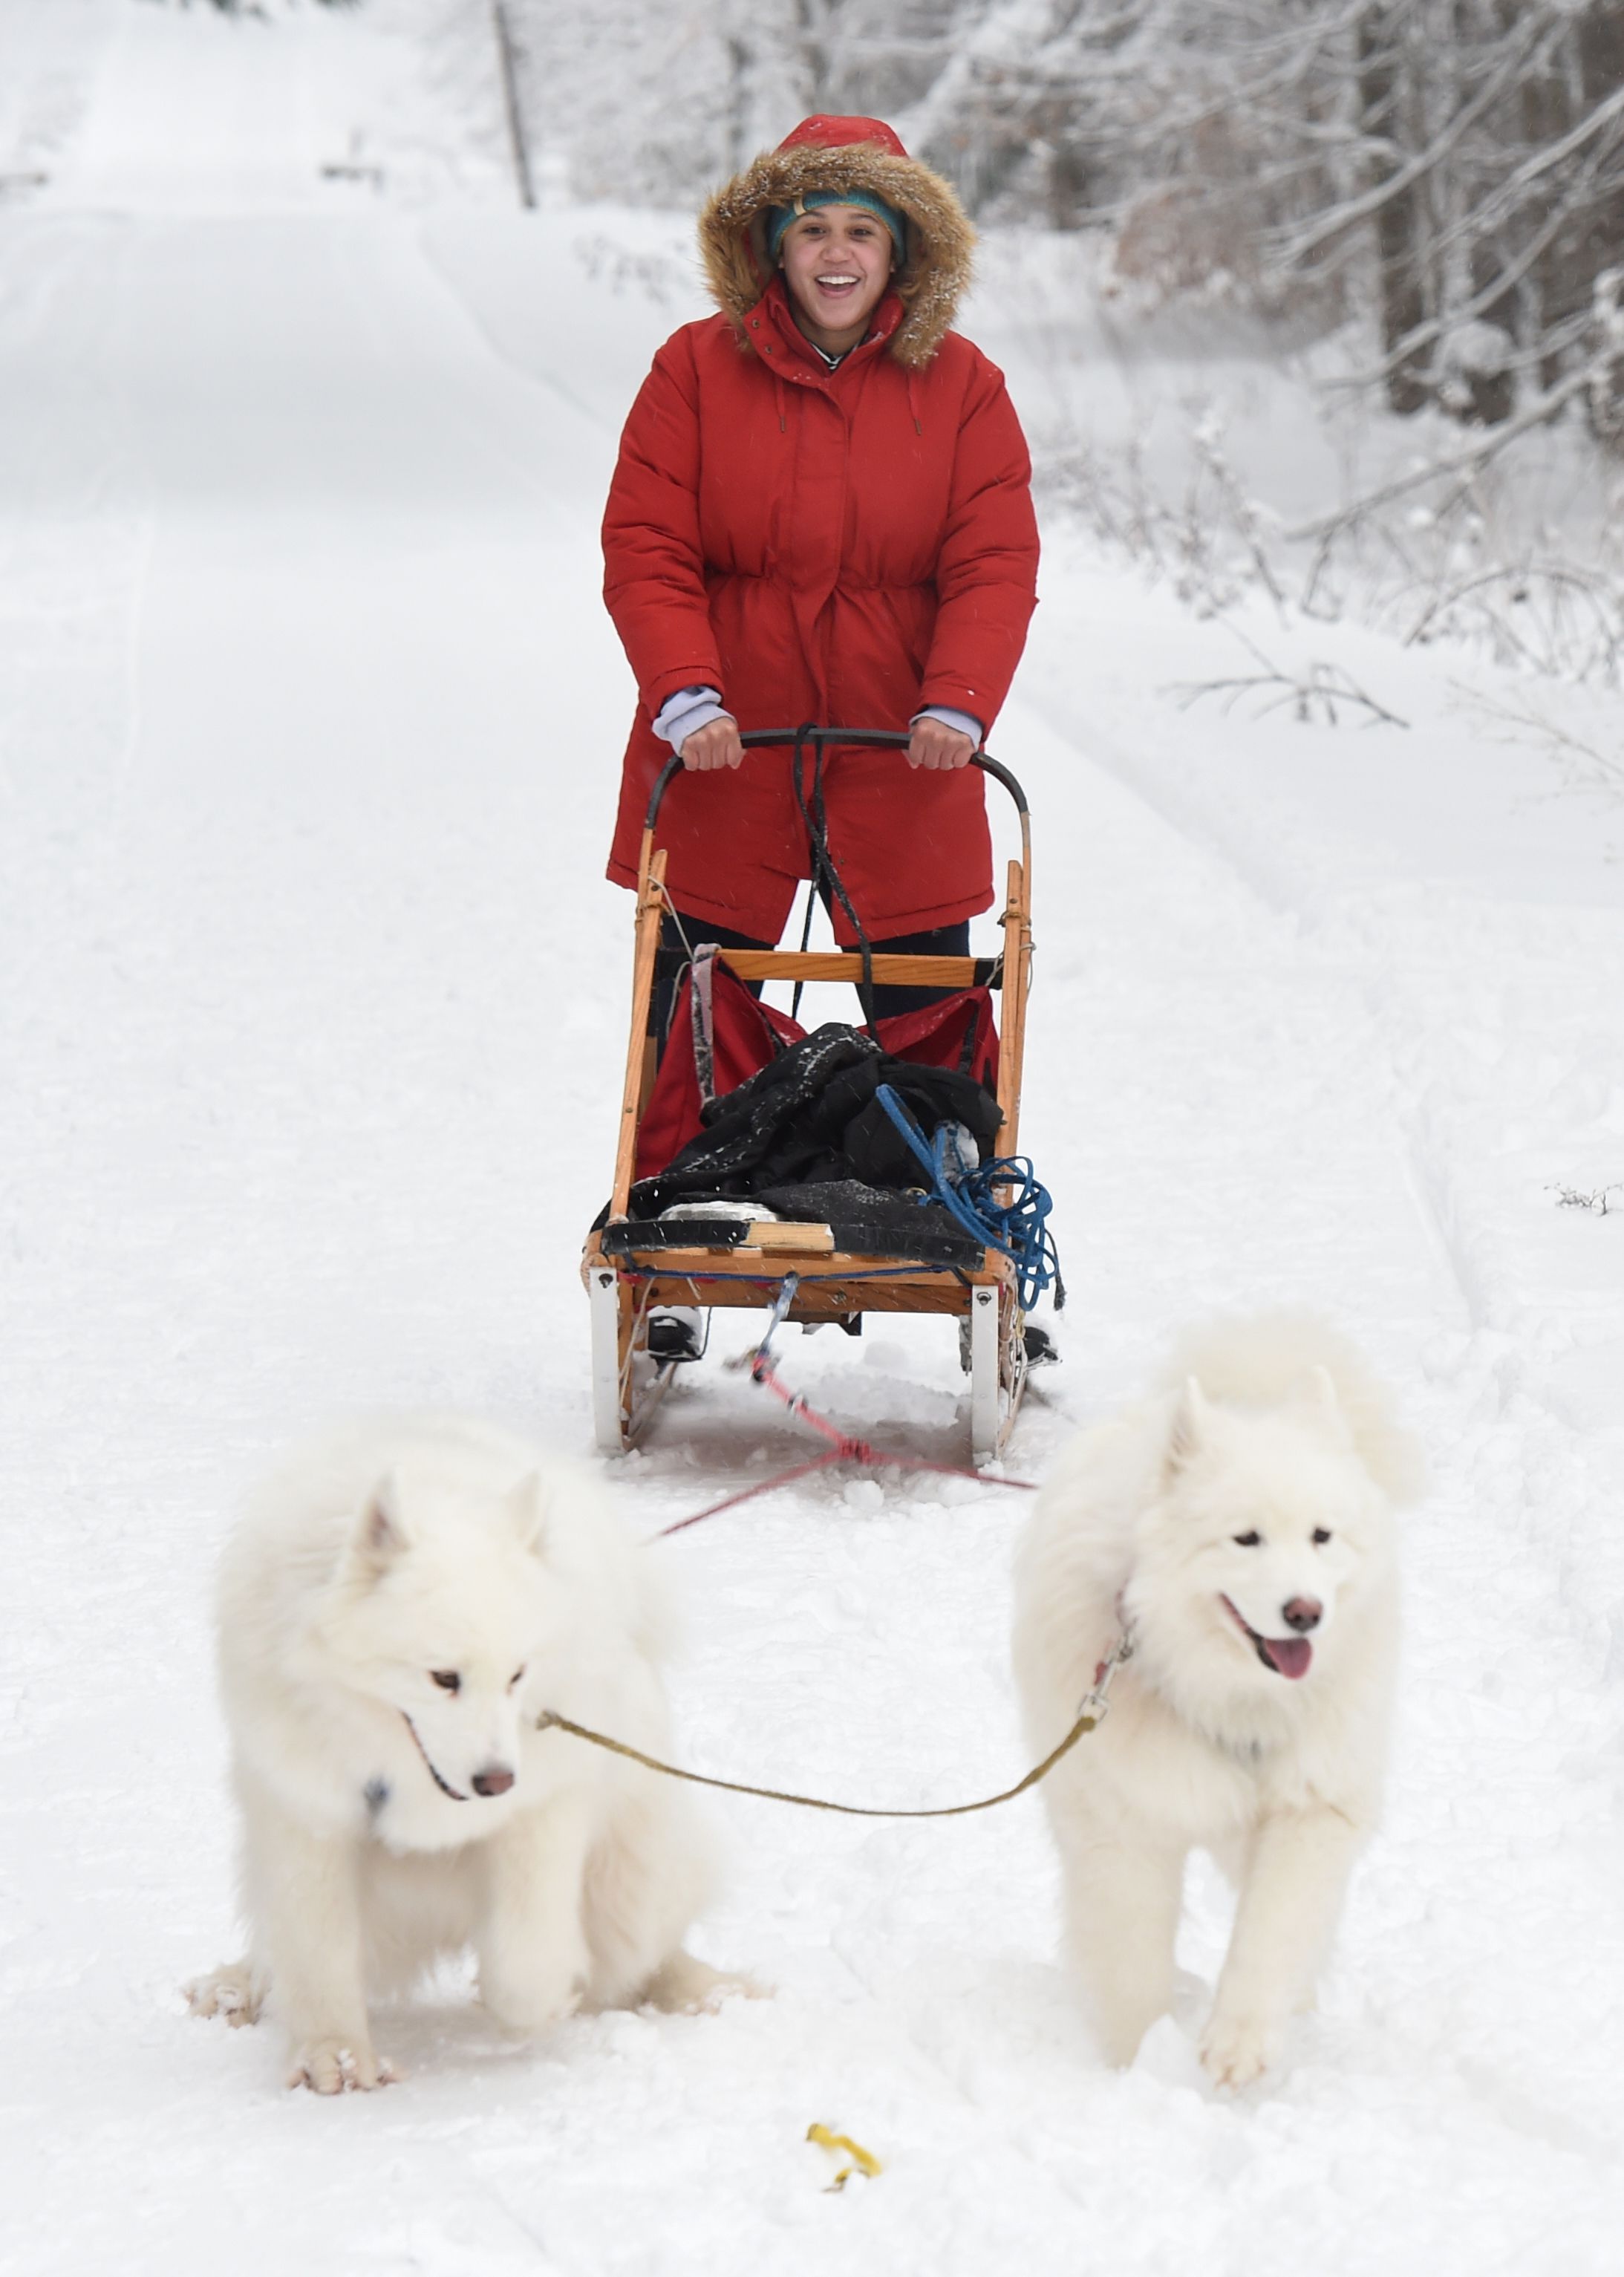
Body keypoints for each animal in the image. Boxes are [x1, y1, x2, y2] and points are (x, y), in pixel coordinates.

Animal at [190, 1411, 724, 2085]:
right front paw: (334, 2057)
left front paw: (533, 2008)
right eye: (443, 1678)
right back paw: (233, 1988)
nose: (495, 1781)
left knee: (642, 1956)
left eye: (517, 1675)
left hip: (631, 1877)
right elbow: (317, 1951)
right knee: (273, 1949)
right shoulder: (307, 1814)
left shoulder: (541, 1809)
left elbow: (527, 1948)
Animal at [1011, 1320, 1421, 2085]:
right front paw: (1140, 2063)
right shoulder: (1125, 1830)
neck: (1230, 1693)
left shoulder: (1309, 1807)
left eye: (1321, 1536)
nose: (1304, 1613)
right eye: (1245, 1538)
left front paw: (1238, 2043)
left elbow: (1273, 1929)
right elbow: (1132, 1963)